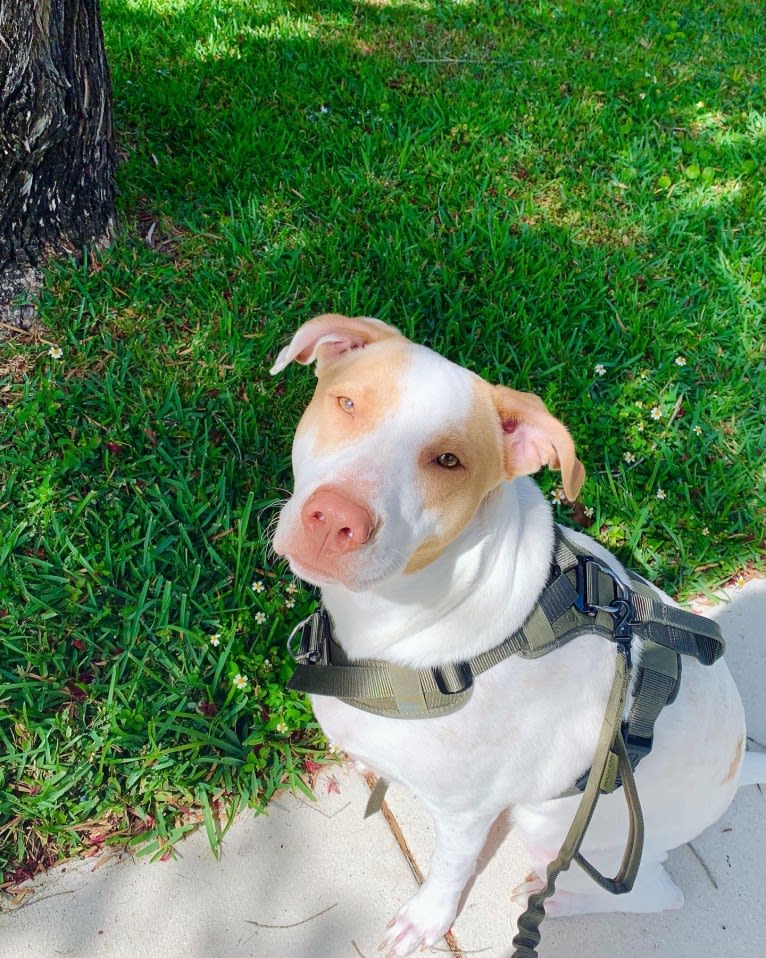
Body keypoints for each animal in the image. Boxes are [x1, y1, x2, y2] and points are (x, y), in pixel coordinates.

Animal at [272, 316, 764, 958]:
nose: (334, 520)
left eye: (448, 460)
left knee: (655, 892)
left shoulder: (465, 812)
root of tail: (738, 764)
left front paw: (426, 920)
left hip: (555, 821)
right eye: (348, 403)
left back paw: (547, 896)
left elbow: (448, 870)